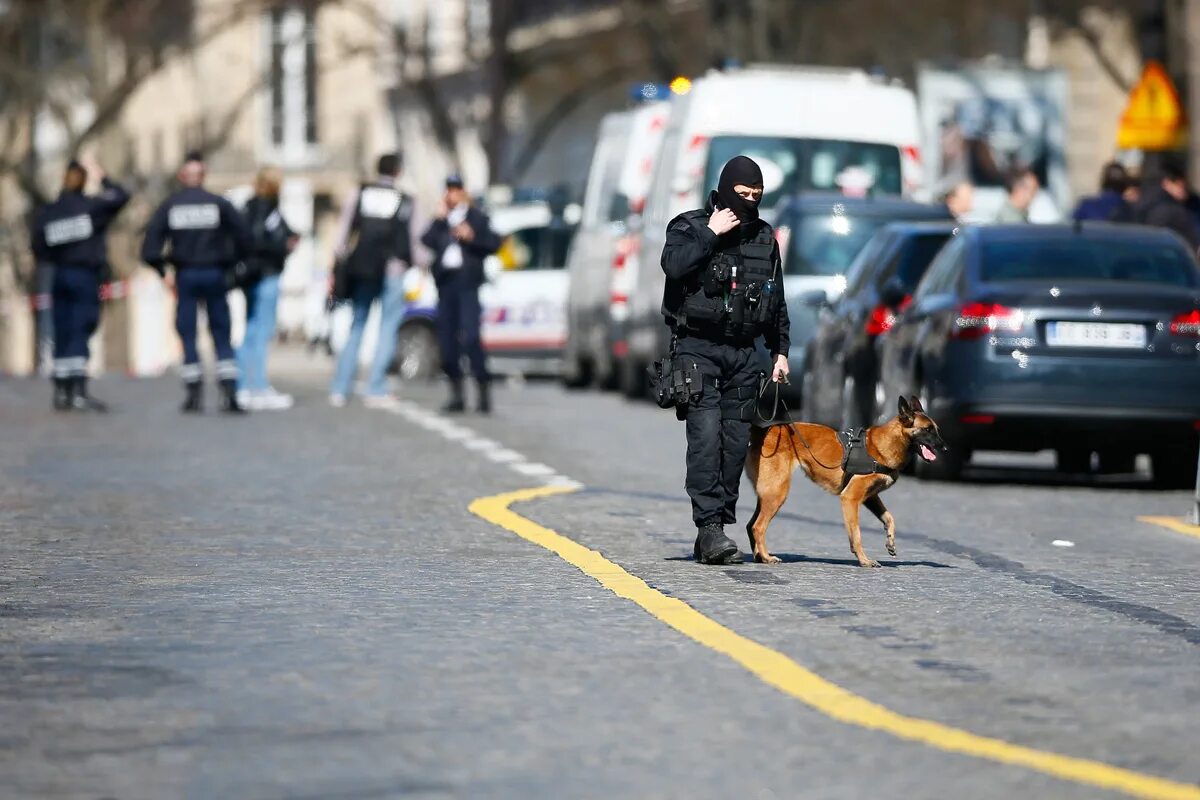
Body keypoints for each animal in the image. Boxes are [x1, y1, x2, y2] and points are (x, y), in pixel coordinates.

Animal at [739, 398, 945, 566]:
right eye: (927, 430)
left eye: (937, 429)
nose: (945, 448)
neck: (884, 445)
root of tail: (761, 430)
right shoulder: (851, 498)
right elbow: (857, 533)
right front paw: (864, 560)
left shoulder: (871, 498)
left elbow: (889, 518)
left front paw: (890, 541)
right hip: (777, 493)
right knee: (758, 526)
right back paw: (767, 557)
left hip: (768, 494)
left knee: (750, 525)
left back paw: (759, 556)